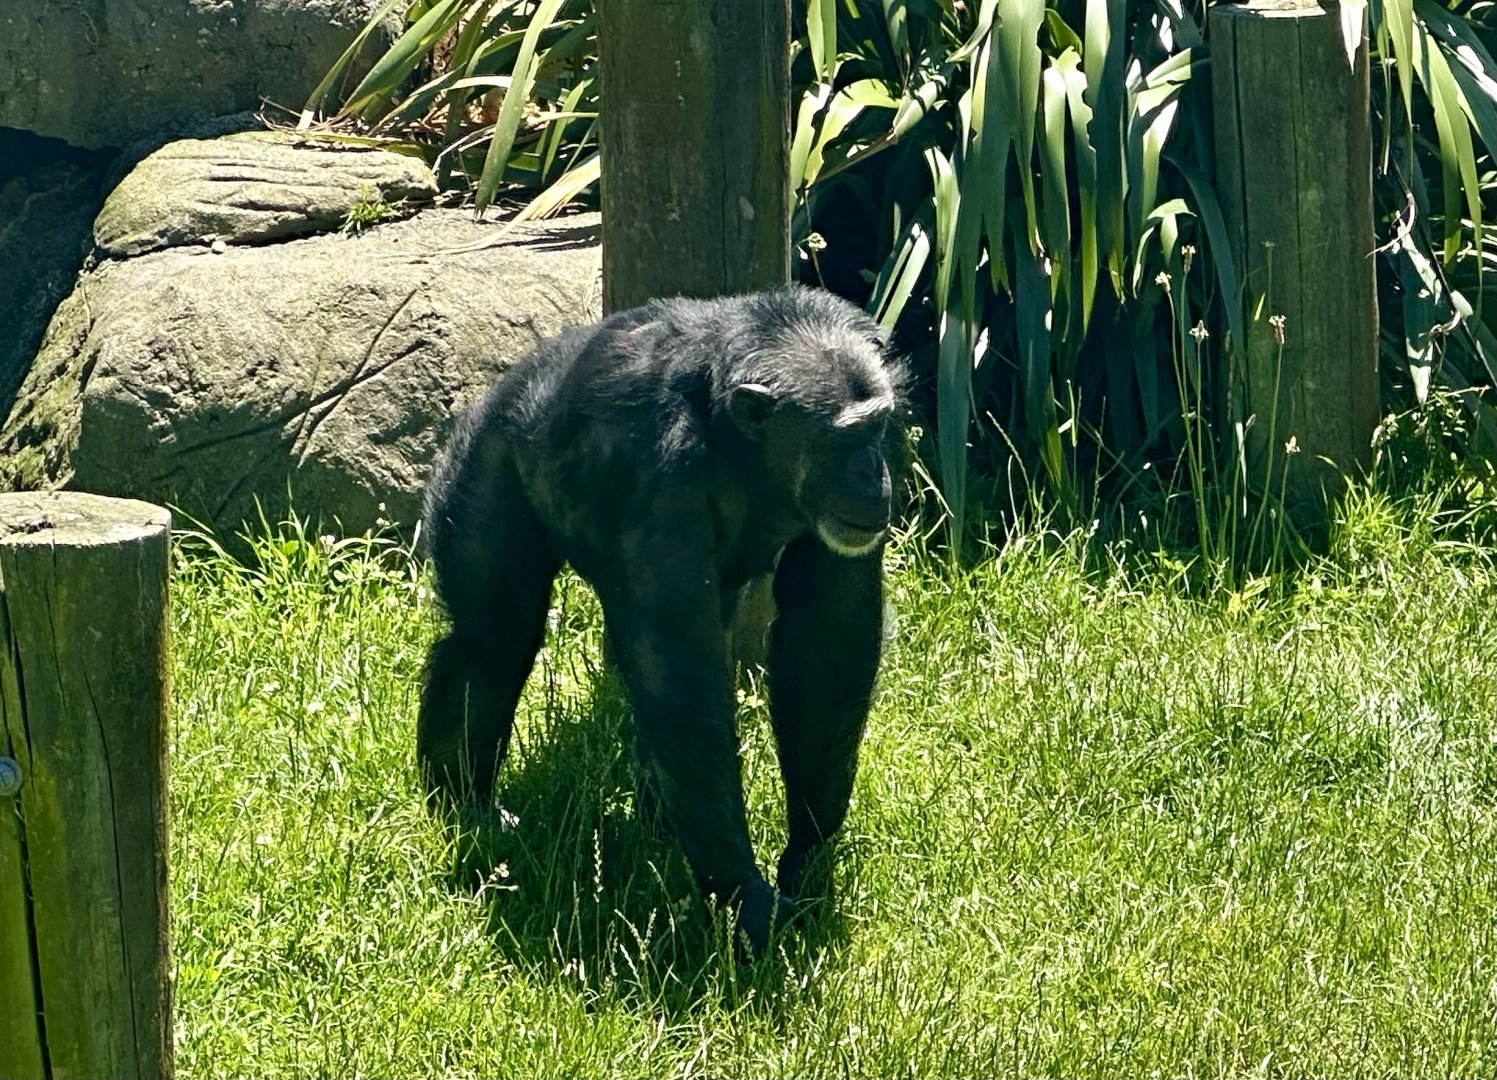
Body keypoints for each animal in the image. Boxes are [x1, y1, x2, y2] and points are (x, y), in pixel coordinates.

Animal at [418, 285, 904, 952]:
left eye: (879, 428)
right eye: (842, 440)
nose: (872, 473)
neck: (738, 446)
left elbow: (826, 641)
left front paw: (808, 859)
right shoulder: (660, 481)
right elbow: (678, 678)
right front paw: (746, 897)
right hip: (482, 456)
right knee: (492, 640)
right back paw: (465, 804)